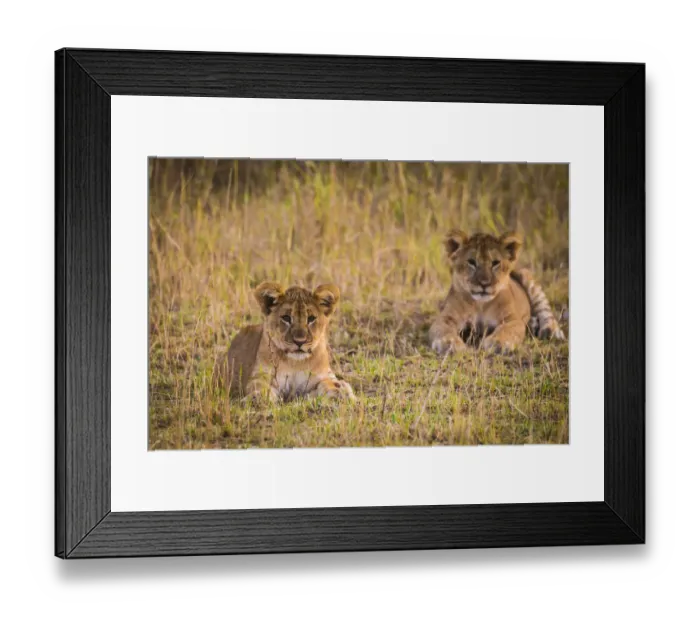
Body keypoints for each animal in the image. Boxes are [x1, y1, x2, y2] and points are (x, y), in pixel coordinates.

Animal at [214, 282, 355, 403]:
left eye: (311, 318)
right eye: (286, 318)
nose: (299, 341)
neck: (295, 363)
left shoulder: (322, 374)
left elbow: (329, 382)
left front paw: (339, 392)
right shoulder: (261, 375)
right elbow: (259, 385)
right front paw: (258, 397)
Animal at [429, 230, 566, 355]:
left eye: (495, 263)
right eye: (471, 262)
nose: (484, 283)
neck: (481, 304)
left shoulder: (512, 319)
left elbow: (506, 329)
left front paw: (499, 343)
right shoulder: (446, 316)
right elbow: (443, 329)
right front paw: (449, 343)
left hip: (527, 277)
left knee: (545, 310)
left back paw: (552, 332)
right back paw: (533, 324)